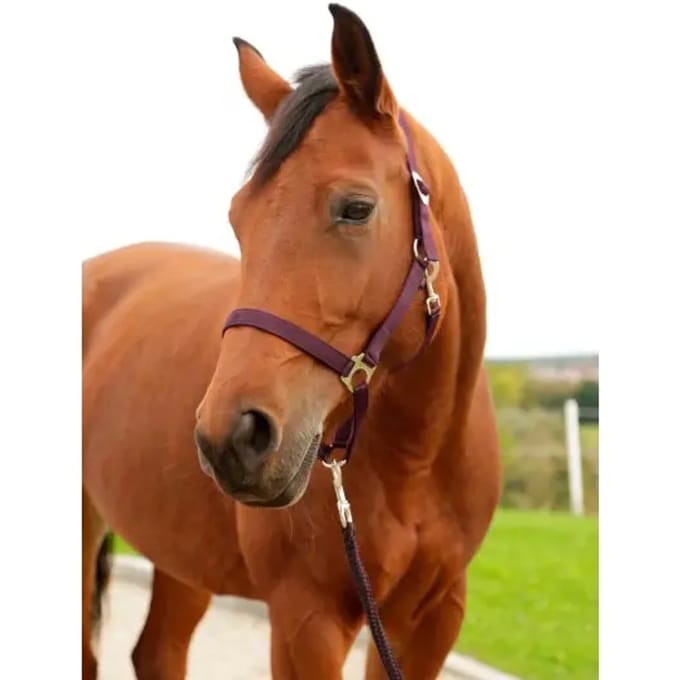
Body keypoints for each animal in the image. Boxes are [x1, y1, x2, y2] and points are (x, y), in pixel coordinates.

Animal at [82, 4, 501, 679]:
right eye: (238, 218)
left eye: (356, 208)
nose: (232, 437)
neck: (417, 460)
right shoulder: (307, 620)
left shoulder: (432, 620)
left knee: (158, 650)